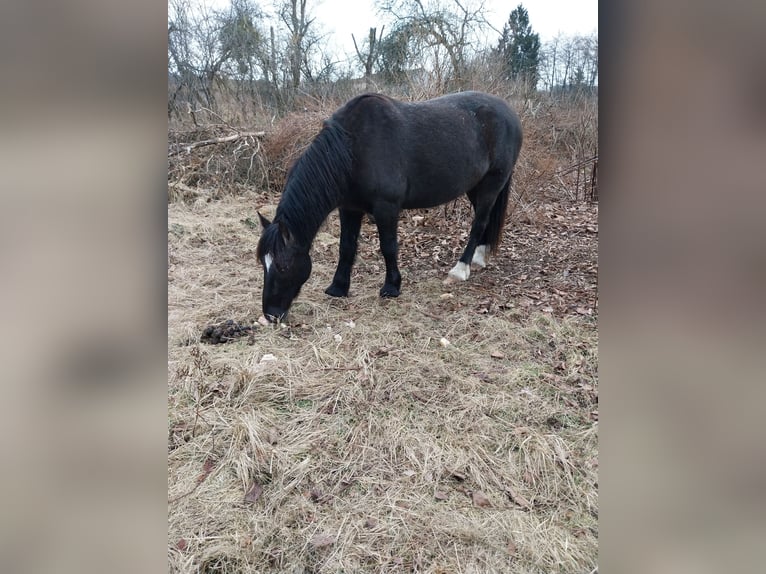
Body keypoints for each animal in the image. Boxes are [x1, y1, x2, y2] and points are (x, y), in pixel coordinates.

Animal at [256, 92, 520, 322]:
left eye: (282, 266)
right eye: (263, 264)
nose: (271, 315)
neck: (353, 148)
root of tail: (510, 112)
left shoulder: (387, 209)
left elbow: (388, 247)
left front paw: (391, 287)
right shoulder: (349, 208)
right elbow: (346, 247)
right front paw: (338, 287)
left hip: (492, 184)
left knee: (479, 223)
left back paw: (461, 268)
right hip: (476, 187)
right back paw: (480, 257)